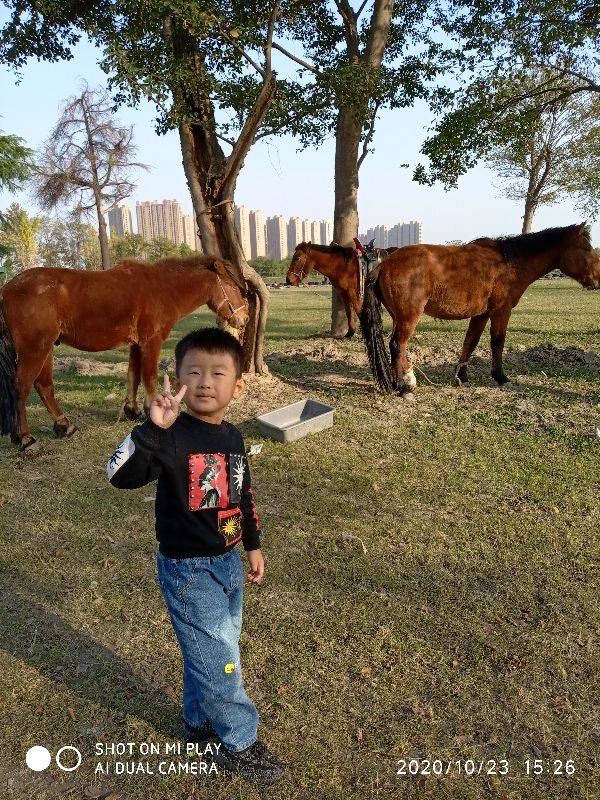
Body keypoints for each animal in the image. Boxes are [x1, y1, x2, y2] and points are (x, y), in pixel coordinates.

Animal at [358, 222, 596, 400]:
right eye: (586, 249)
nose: (598, 278)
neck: (508, 264)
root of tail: (384, 264)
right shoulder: (501, 311)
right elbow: (497, 342)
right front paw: (500, 377)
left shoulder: (481, 315)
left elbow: (470, 342)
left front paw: (461, 376)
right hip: (409, 317)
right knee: (397, 344)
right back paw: (403, 387)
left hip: (401, 317)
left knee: (401, 346)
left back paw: (408, 379)